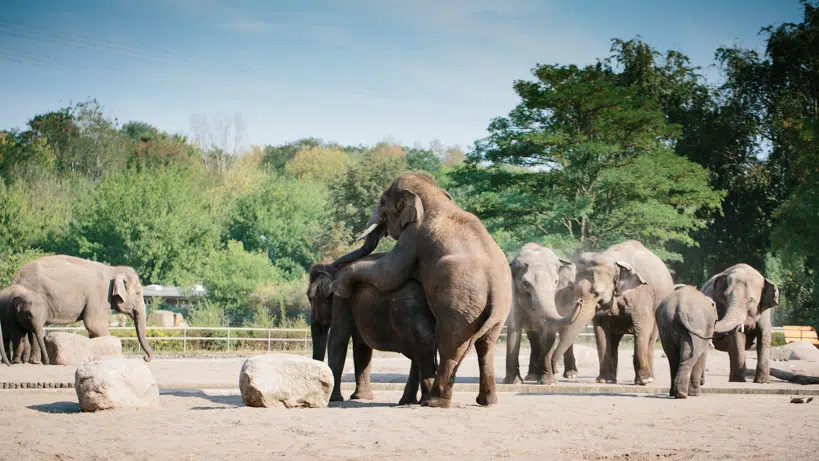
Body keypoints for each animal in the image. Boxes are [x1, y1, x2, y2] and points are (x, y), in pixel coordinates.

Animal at [8, 252, 155, 362]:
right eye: (138, 293)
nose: (145, 358)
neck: (113, 269)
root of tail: (14, 278)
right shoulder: (98, 295)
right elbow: (94, 324)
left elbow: (93, 330)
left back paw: (30, 361)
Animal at [308, 256, 438, 404]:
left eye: (310, 298)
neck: (332, 267)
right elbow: (361, 347)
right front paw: (361, 397)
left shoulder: (341, 300)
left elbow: (338, 339)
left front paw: (334, 399)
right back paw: (409, 401)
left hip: (411, 315)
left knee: (420, 347)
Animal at [328, 172, 512, 406]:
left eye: (382, 202)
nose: (333, 266)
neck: (433, 196)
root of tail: (496, 291)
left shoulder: (413, 237)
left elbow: (388, 274)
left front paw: (338, 283)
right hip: (497, 312)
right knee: (486, 346)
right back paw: (486, 401)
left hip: (459, 303)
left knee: (449, 345)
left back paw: (434, 402)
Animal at [502, 244, 588, 384]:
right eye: (526, 283)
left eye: (556, 281)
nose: (580, 301)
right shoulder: (512, 292)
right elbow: (514, 329)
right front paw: (512, 382)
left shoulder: (557, 296)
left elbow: (549, 331)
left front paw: (549, 382)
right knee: (533, 337)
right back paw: (532, 376)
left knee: (564, 331)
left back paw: (571, 375)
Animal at [544, 241, 672, 384]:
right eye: (575, 291)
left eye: (597, 293)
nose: (555, 370)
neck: (613, 261)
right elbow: (601, 330)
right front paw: (604, 380)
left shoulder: (641, 296)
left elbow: (641, 327)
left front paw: (644, 381)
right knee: (614, 340)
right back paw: (613, 379)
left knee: (651, 337)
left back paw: (651, 378)